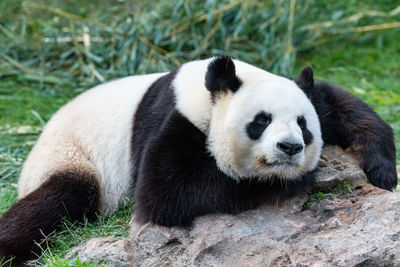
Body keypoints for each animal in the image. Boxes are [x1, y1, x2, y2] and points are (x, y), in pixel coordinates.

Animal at [0, 56, 396, 266]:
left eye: (302, 124)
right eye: (261, 121)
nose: (290, 147)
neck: (210, 92)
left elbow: (342, 105)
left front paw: (382, 170)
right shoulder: (174, 120)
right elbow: (165, 192)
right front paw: (294, 179)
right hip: (69, 155)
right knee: (61, 197)